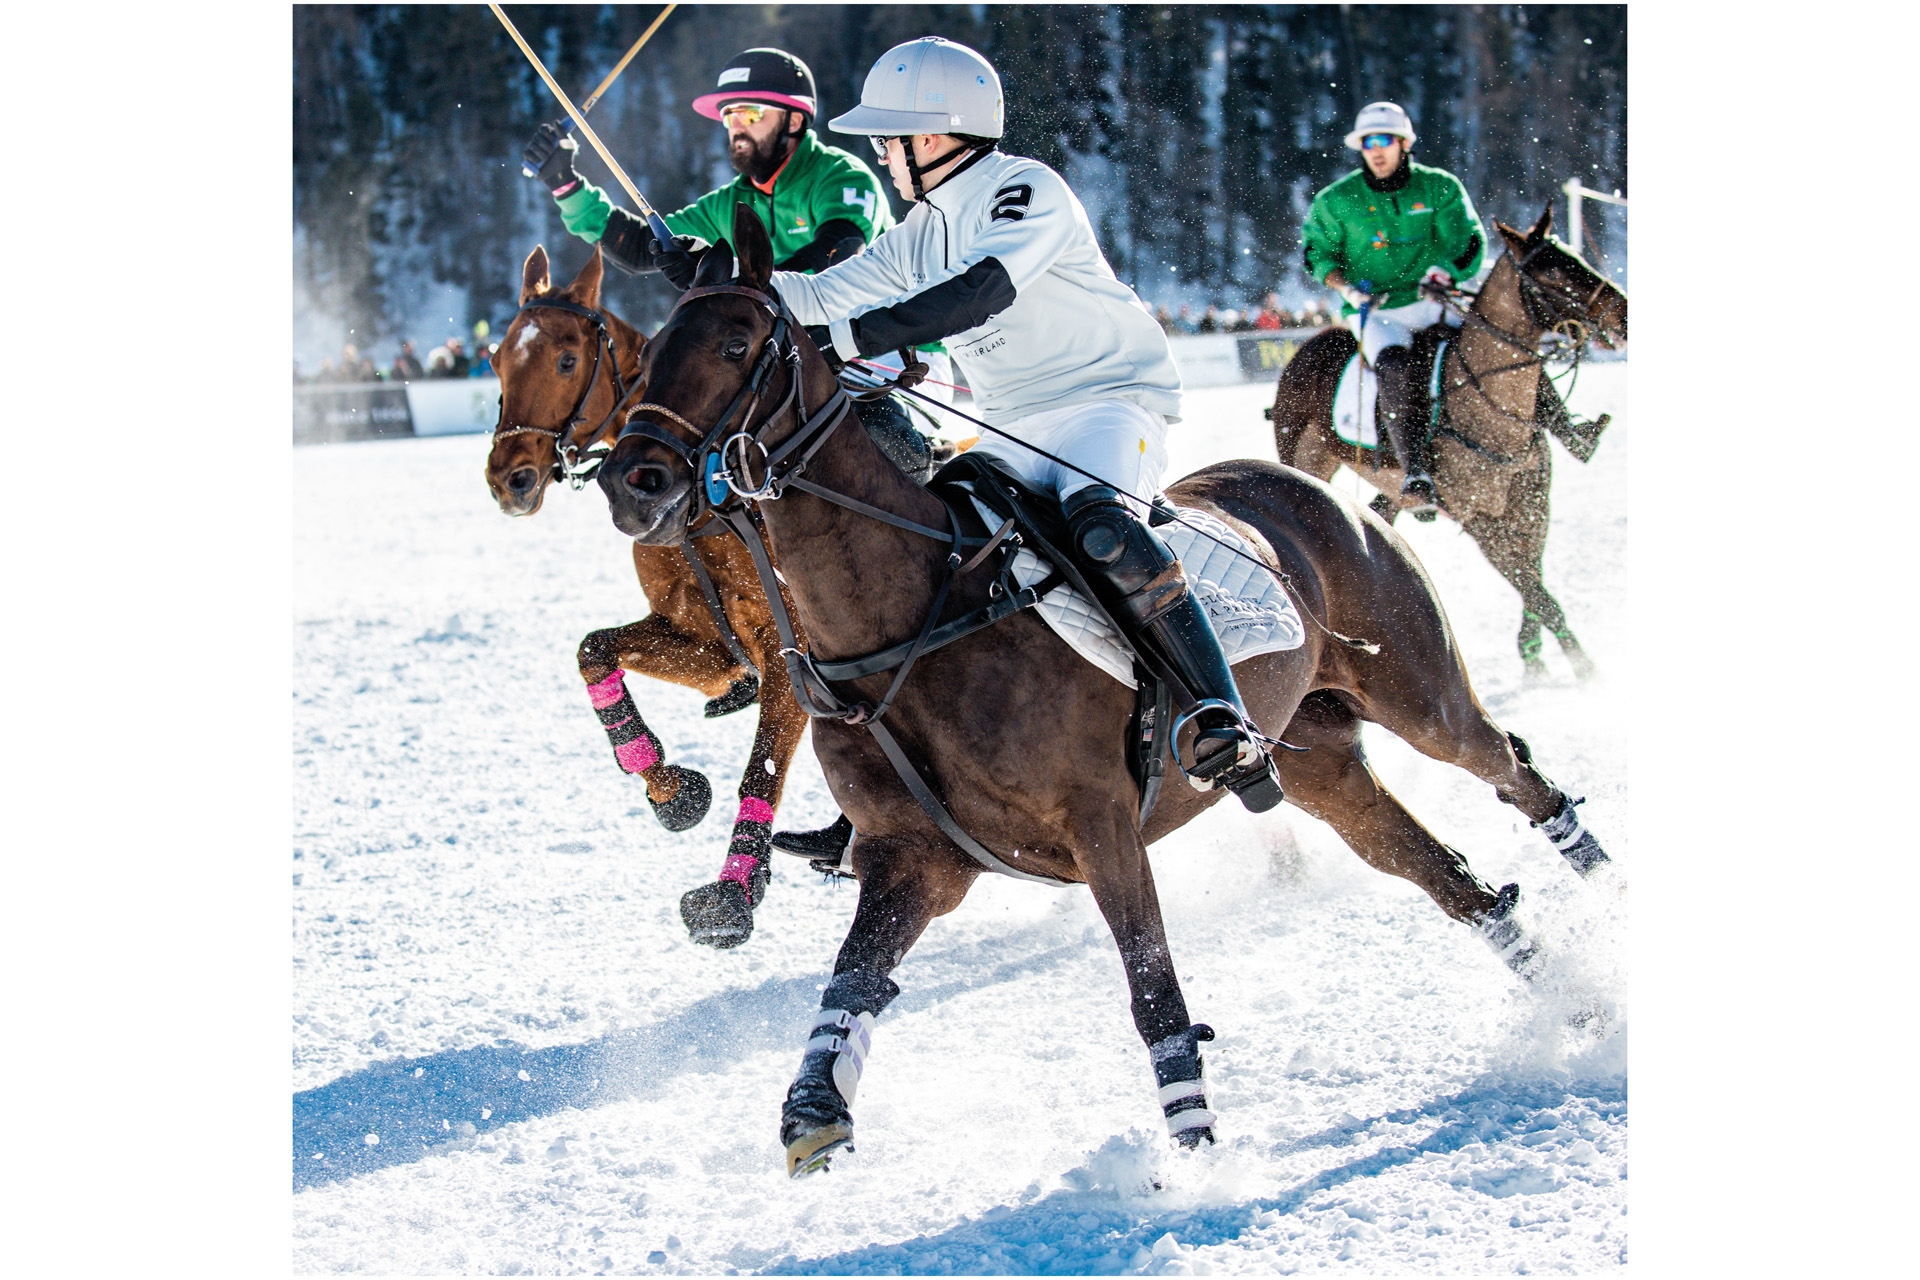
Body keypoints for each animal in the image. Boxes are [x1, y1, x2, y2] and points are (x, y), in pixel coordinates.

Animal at [483, 245, 814, 948]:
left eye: (567, 360)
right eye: (496, 359)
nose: (508, 479)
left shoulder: (792, 652)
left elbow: (763, 767)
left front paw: (730, 896)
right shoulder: (711, 647)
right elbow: (593, 650)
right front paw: (672, 790)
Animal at [1267, 202, 1628, 679]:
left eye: (1579, 258)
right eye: (1552, 273)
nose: (1624, 316)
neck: (1491, 402)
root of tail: (1307, 347)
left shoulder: (1531, 499)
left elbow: (1534, 579)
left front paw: (1533, 656)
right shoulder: (1478, 518)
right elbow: (1538, 594)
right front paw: (1586, 673)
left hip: (1390, 489)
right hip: (1305, 455)